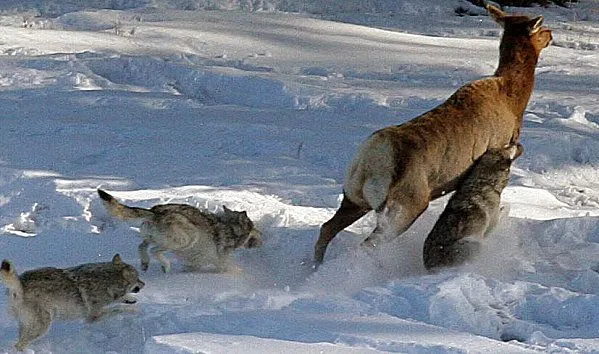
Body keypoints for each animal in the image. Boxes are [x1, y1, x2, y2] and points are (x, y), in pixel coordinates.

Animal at [0, 254, 145, 352]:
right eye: (138, 278)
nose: (144, 283)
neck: (106, 281)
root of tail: (20, 283)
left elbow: (121, 300)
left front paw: (131, 300)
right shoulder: (93, 317)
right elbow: (119, 308)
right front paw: (134, 311)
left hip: (28, 325)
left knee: (19, 341)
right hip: (43, 326)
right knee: (19, 345)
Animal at [98, 189, 262, 272]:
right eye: (253, 227)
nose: (263, 236)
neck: (230, 228)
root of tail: (155, 211)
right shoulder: (221, 262)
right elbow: (228, 268)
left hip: (151, 237)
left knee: (142, 246)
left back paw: (145, 263)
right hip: (188, 238)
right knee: (154, 250)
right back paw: (165, 266)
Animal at [424, 142, 524, 270]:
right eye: (507, 148)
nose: (516, 143)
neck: (485, 181)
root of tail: (432, 267)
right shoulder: (492, 224)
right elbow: (507, 207)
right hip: (473, 243)